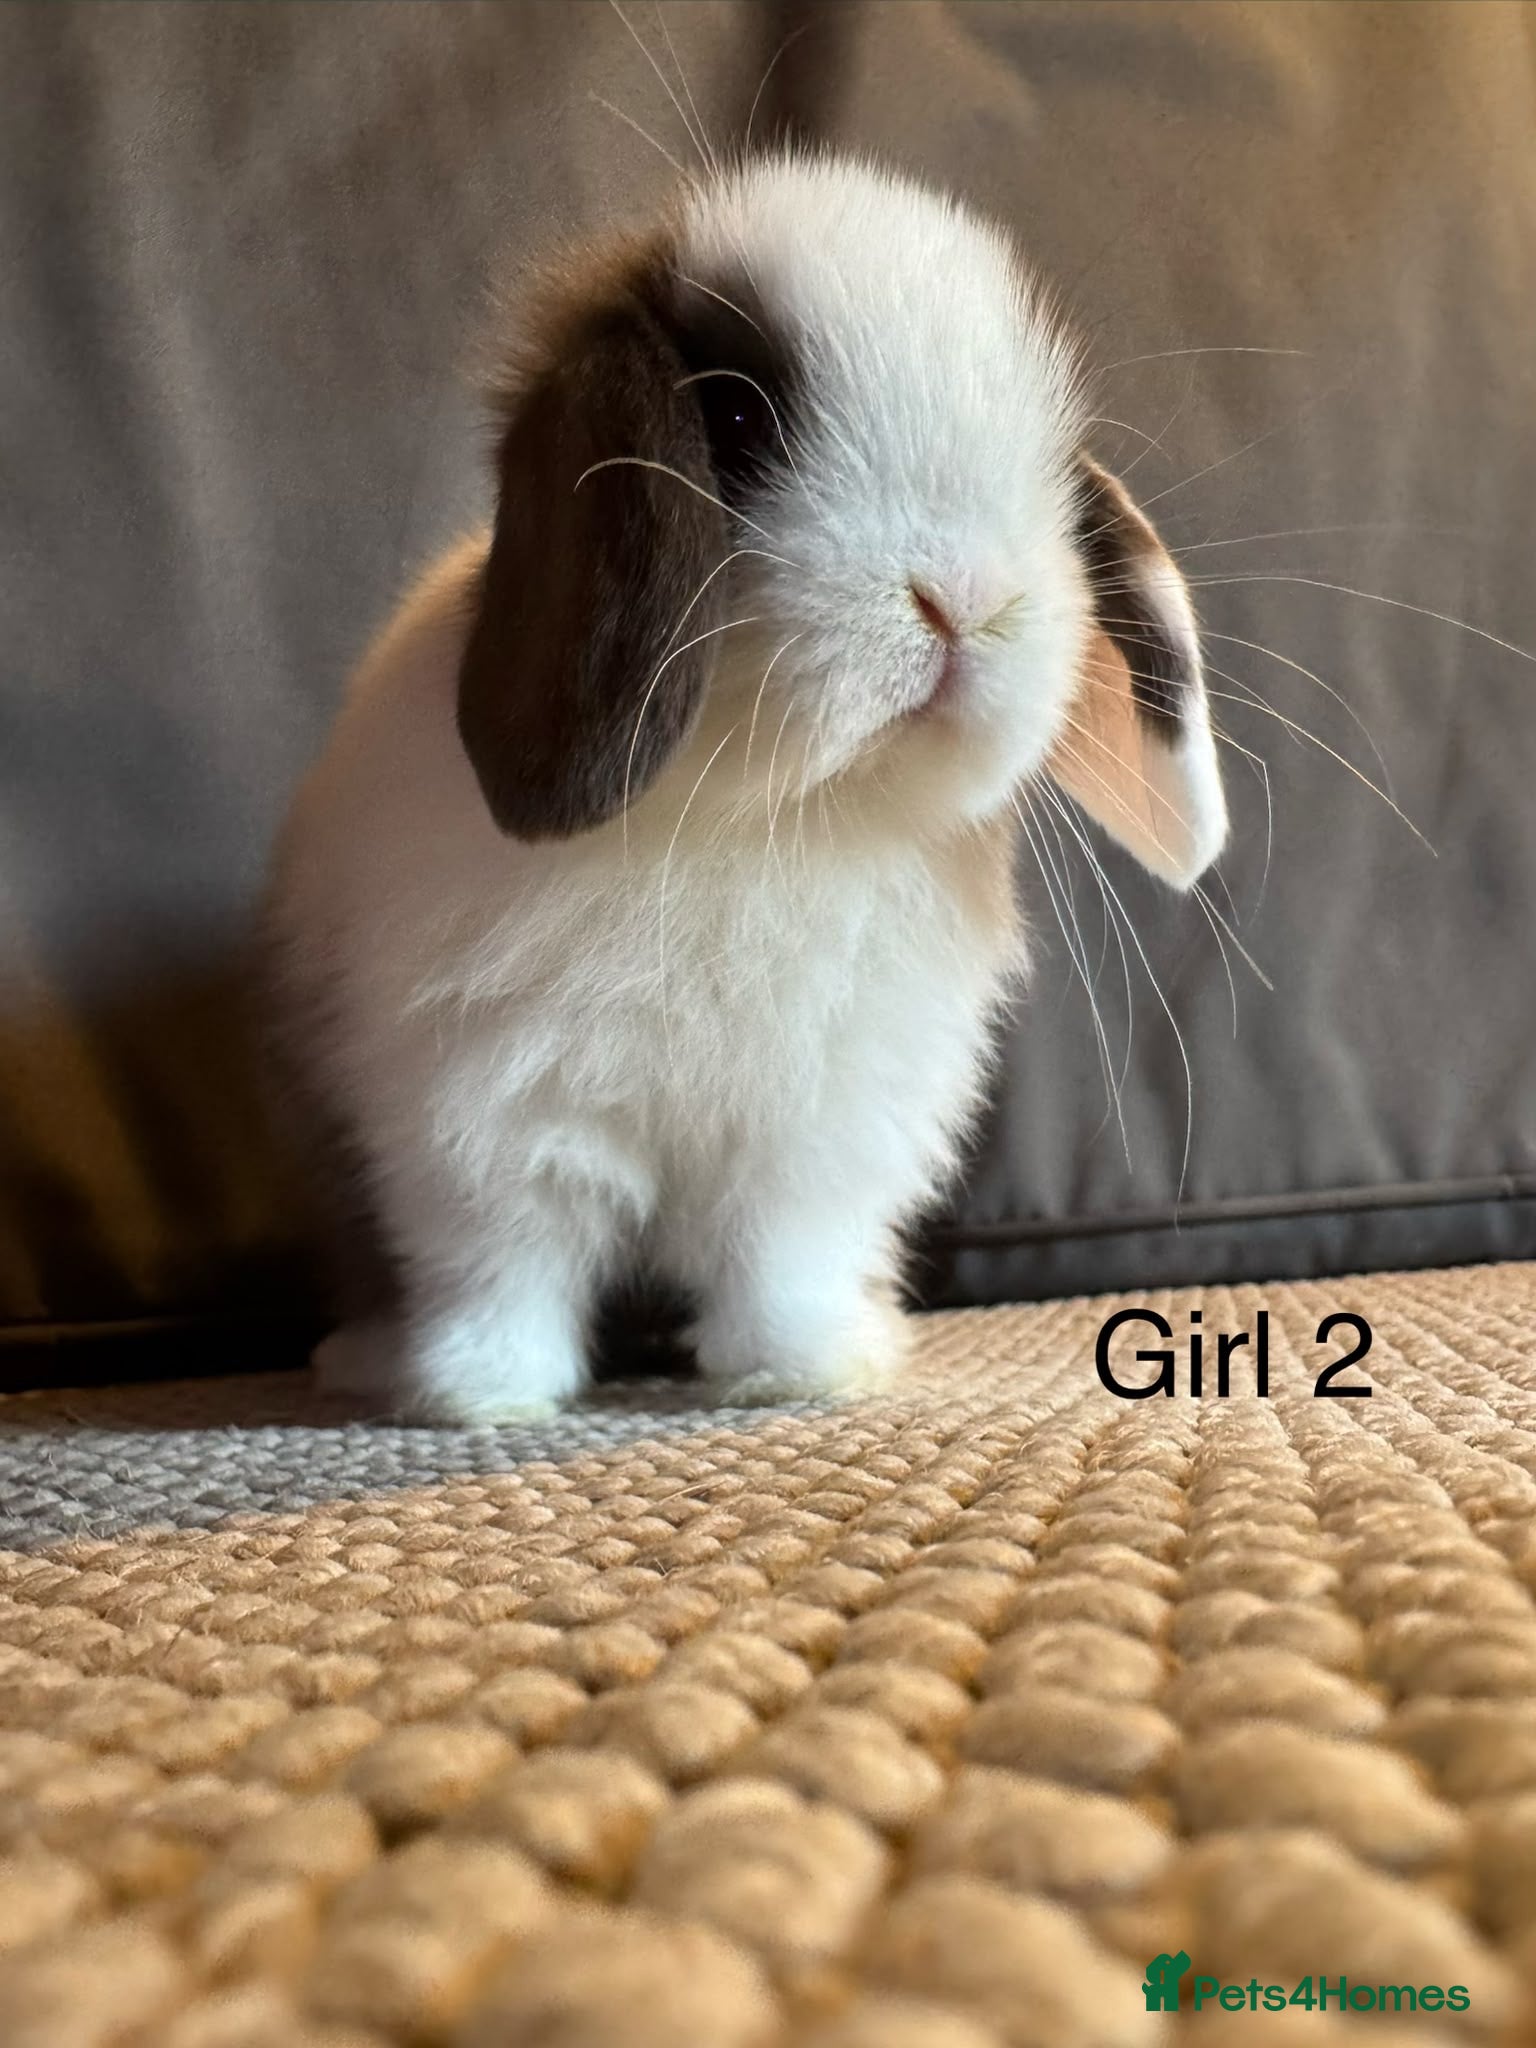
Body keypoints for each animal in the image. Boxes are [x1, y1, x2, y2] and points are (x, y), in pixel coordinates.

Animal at [265, 151, 1228, 1423]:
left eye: (1054, 472)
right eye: (732, 415)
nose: (963, 597)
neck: (757, 810)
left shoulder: (814, 1128)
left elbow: (779, 1250)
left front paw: (800, 1371)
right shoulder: (484, 1107)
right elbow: (503, 1255)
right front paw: (479, 1394)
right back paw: (369, 1360)